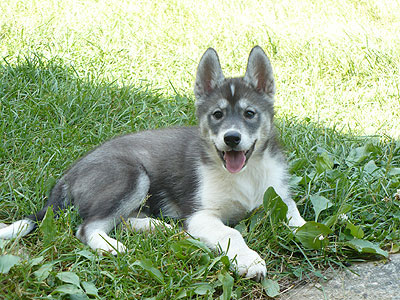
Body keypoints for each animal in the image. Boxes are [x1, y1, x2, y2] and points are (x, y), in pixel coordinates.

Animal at [0, 45, 306, 280]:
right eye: (217, 114)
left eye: (250, 113)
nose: (232, 138)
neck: (245, 174)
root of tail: (68, 175)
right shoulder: (200, 215)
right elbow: (230, 233)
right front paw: (248, 260)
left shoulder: (277, 196)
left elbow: (295, 215)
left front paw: (303, 230)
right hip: (131, 175)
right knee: (87, 227)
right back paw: (114, 247)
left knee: (119, 219)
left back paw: (158, 227)